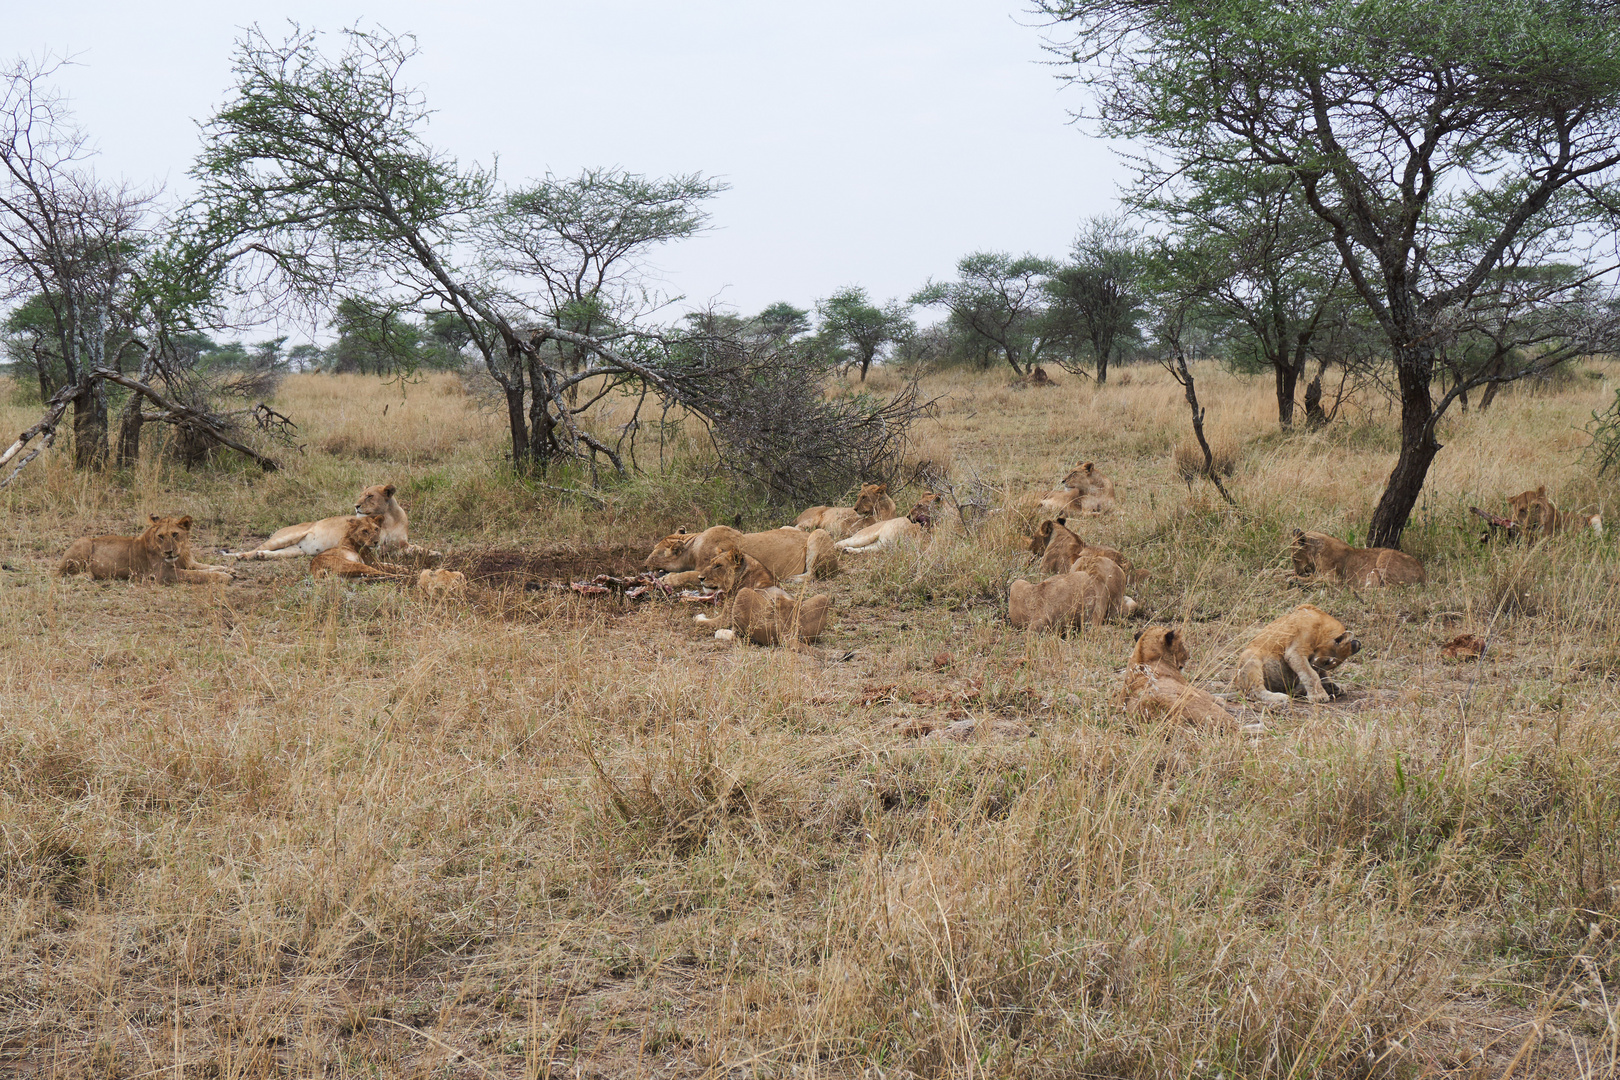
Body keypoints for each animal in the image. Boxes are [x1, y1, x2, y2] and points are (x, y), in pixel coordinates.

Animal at [55, 514, 233, 582]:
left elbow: (206, 567)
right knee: (64, 573)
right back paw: (88, 575)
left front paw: (228, 569)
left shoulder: (189, 563)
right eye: (161, 536)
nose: (169, 552)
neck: (181, 552)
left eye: (175, 534)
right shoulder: (164, 574)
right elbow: (197, 575)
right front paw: (224, 576)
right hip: (84, 541)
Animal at [228, 482, 440, 563]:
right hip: (287, 536)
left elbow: (418, 548)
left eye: (370, 496)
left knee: (275, 552)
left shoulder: (401, 545)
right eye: (361, 495)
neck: (388, 519)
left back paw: (263, 556)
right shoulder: (371, 547)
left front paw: (436, 553)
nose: (356, 506)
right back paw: (242, 556)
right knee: (258, 547)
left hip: (296, 551)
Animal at [1231, 599, 1360, 709]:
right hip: (1250, 657)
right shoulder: (1295, 652)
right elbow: (1310, 674)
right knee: (1254, 692)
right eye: (1327, 661)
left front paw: (1329, 685)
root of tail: (1237, 685)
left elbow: (1321, 674)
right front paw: (1319, 696)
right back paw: (1281, 697)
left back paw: (1332, 688)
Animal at [1283, 531, 1425, 586]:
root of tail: (1423, 572)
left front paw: (1295, 579)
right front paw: (1284, 573)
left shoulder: (1334, 579)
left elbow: (1313, 579)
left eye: (1294, 558)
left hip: (1384, 556)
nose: (1298, 571)